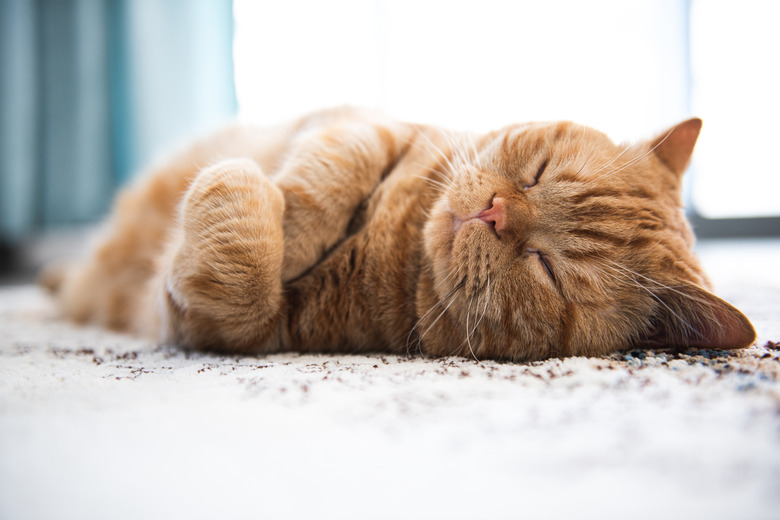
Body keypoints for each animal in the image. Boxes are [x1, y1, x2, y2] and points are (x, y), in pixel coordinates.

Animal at [42, 105, 756, 362]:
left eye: (545, 266)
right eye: (538, 172)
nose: (494, 213)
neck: (399, 243)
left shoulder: (217, 328)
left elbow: (244, 281)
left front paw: (243, 196)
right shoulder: (364, 125)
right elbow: (333, 169)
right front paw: (289, 220)